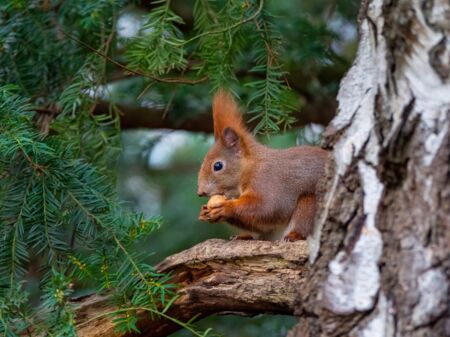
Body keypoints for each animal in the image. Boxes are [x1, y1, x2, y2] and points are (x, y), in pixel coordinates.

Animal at [197, 90, 326, 239]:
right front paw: (204, 212)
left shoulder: (268, 180)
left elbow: (269, 207)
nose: (200, 192)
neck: (251, 167)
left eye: (217, 166)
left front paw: (227, 208)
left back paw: (294, 235)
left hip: (311, 202)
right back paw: (244, 236)